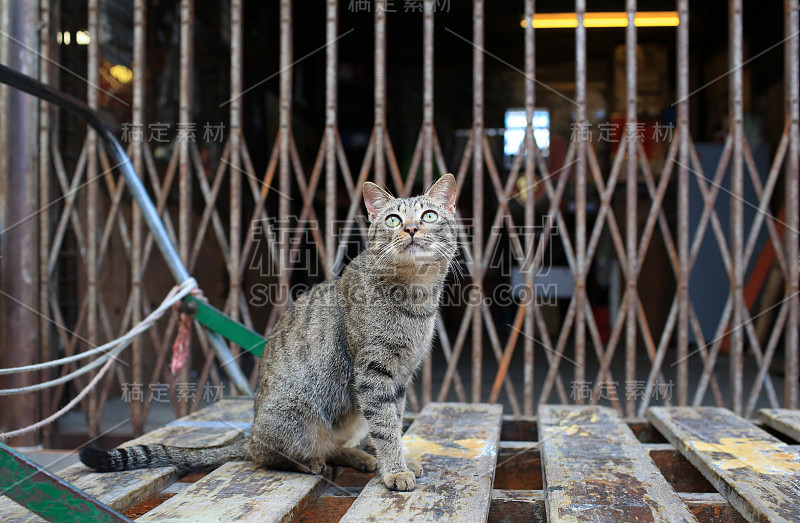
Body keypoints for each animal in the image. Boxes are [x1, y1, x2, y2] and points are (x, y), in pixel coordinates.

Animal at [80, 175, 460, 492]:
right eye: (393, 219)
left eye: (428, 215)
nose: (411, 228)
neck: (415, 296)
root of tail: (250, 435)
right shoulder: (373, 374)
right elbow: (386, 427)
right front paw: (395, 469)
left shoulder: (401, 377)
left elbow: (392, 422)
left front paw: (397, 461)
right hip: (300, 417)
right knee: (271, 457)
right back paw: (311, 463)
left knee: (333, 445)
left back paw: (358, 456)